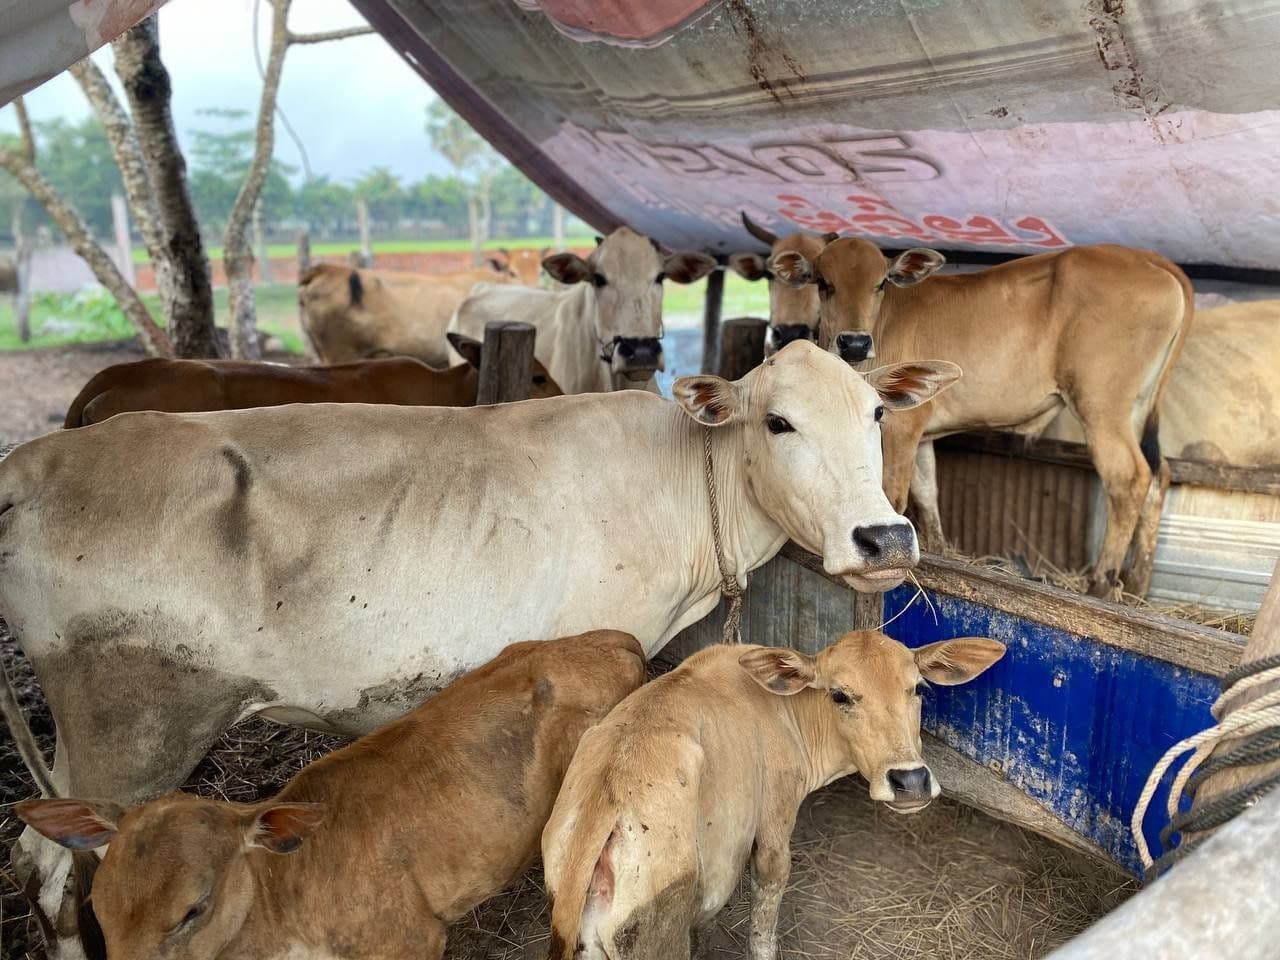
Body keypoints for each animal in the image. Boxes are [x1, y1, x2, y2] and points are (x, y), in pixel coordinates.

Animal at [542, 630, 1006, 960]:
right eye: (840, 695)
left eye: (918, 689)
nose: (909, 780)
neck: (787, 712)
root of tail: (604, 800)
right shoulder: (774, 825)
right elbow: (764, 920)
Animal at [770, 237, 1193, 596]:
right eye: (823, 283)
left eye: (881, 284)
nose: (854, 343)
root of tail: (1147, 257)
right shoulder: (922, 432)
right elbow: (927, 491)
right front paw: (939, 551)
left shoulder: (900, 425)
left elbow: (894, 493)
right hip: (1137, 407)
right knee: (1159, 475)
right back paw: (1136, 588)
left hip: (1101, 403)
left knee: (1128, 478)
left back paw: (1100, 587)